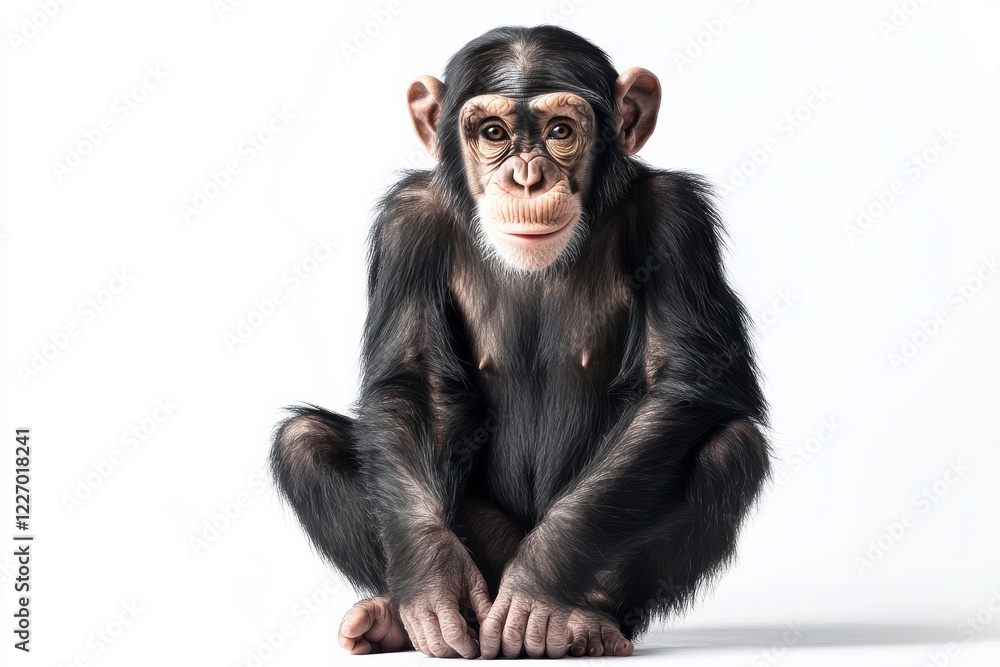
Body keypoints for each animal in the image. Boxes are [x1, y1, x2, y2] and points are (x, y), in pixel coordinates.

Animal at [271, 25, 769, 659]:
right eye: (493, 134)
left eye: (560, 132)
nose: (527, 176)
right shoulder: (406, 223)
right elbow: (414, 382)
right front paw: (431, 582)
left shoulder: (677, 220)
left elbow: (680, 380)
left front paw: (539, 583)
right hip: (486, 554)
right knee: (303, 442)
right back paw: (391, 616)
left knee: (731, 448)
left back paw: (587, 620)